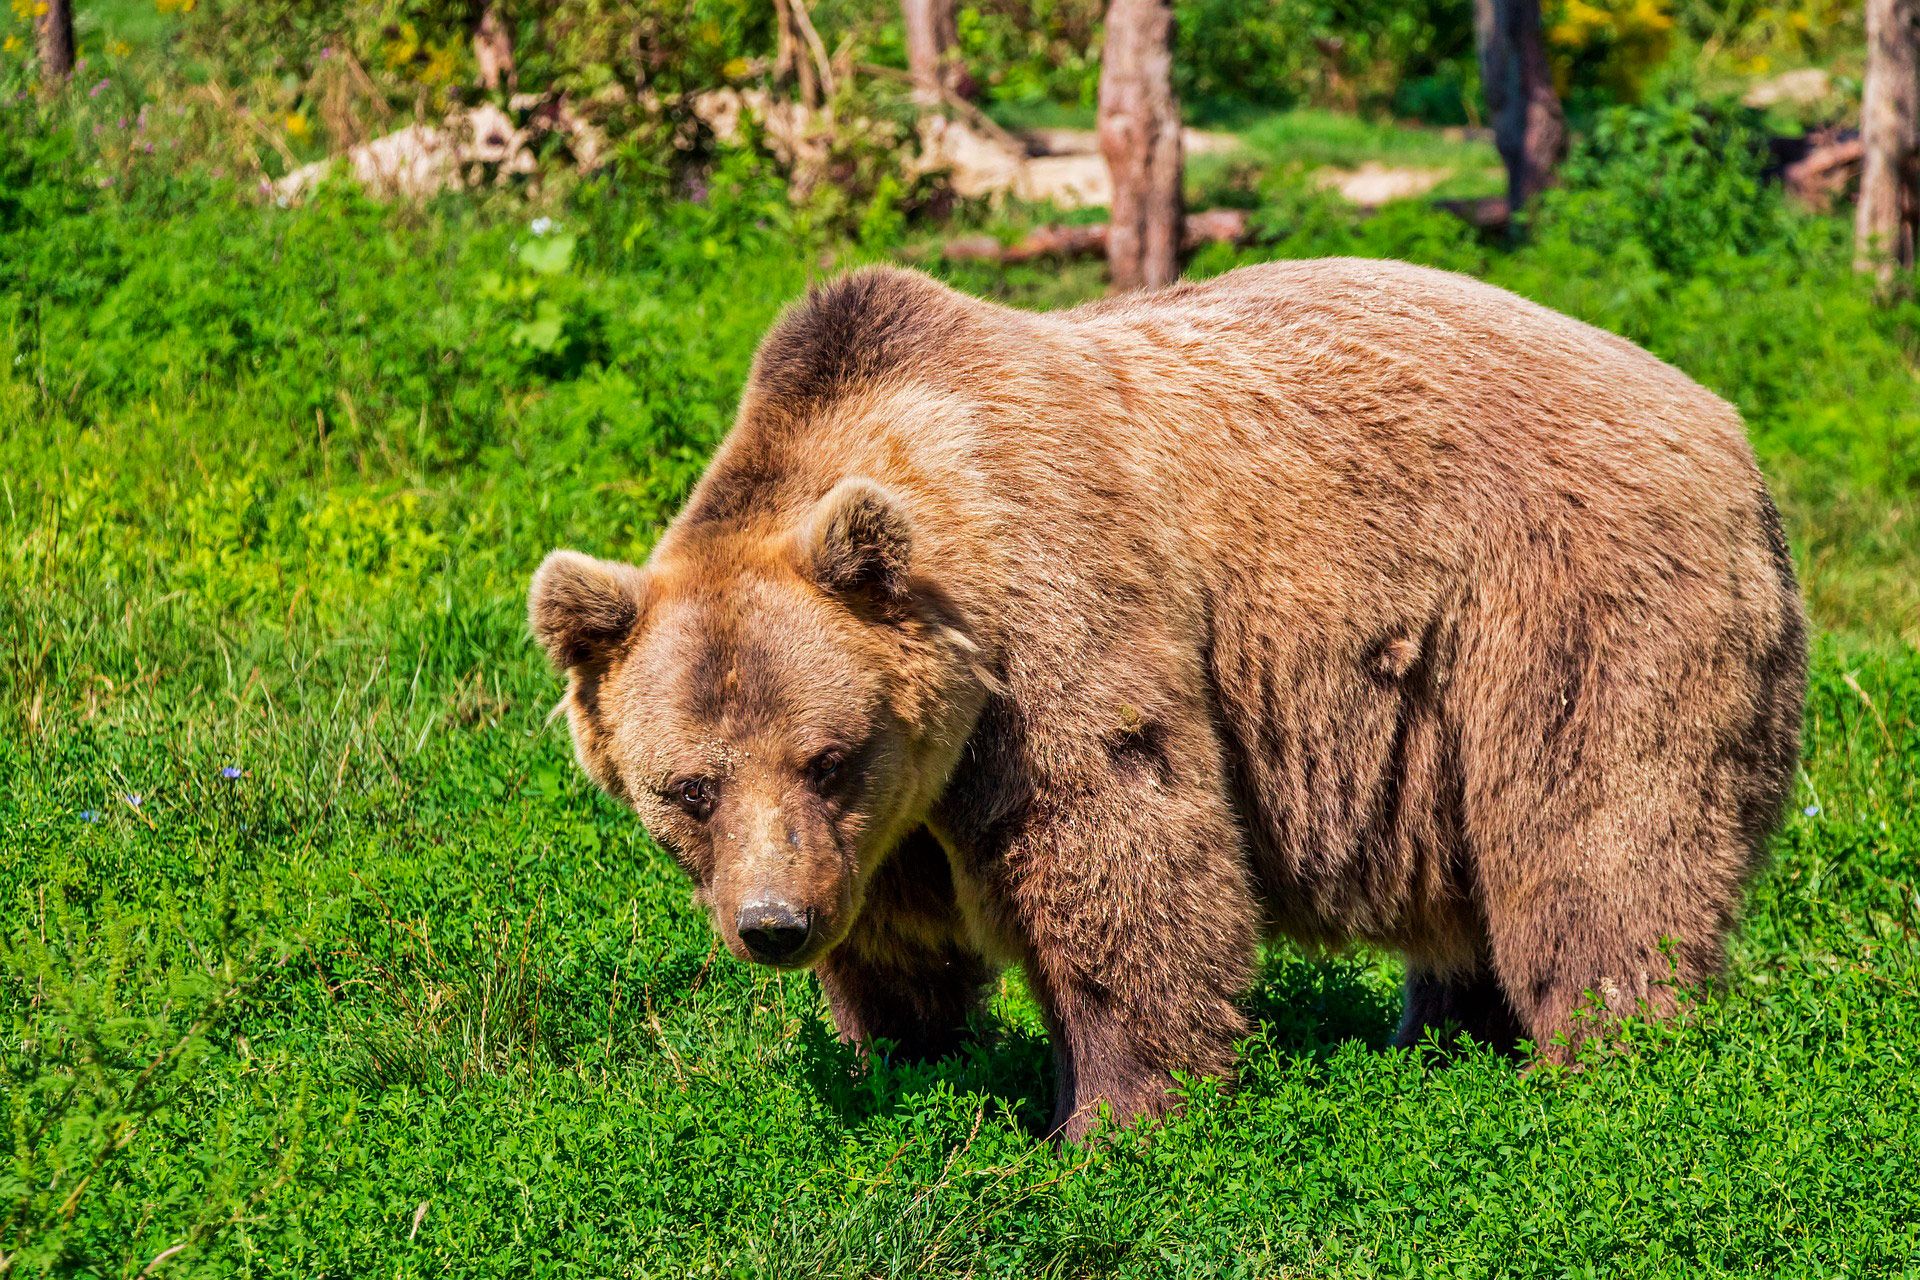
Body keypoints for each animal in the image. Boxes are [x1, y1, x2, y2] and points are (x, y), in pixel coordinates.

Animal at [533, 260, 1804, 1143]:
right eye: (688, 788)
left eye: (826, 754)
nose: (773, 925)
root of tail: (1731, 427)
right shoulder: (892, 811)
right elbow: (898, 937)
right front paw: (908, 1058)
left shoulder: (1052, 624)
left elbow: (1120, 848)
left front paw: (1111, 1118)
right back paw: (1442, 1037)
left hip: (1567, 604)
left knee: (1595, 836)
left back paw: (1607, 1054)